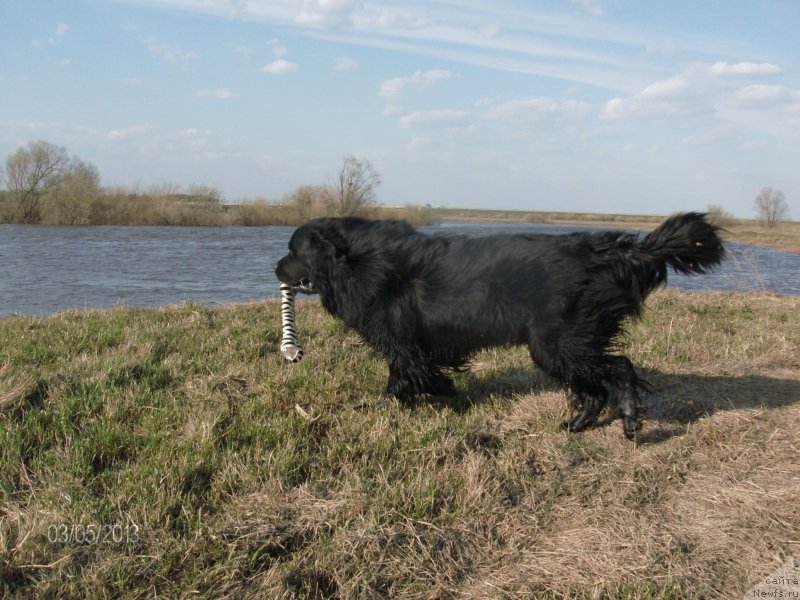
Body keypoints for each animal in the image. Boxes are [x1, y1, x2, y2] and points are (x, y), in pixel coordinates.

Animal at [276, 213, 724, 438]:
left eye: (292, 251)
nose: (275, 269)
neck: (354, 259)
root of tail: (615, 253)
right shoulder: (412, 343)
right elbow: (416, 371)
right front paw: (440, 390)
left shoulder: (400, 340)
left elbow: (401, 376)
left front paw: (389, 404)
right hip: (562, 346)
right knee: (595, 388)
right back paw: (578, 424)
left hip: (559, 342)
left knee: (620, 369)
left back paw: (630, 418)